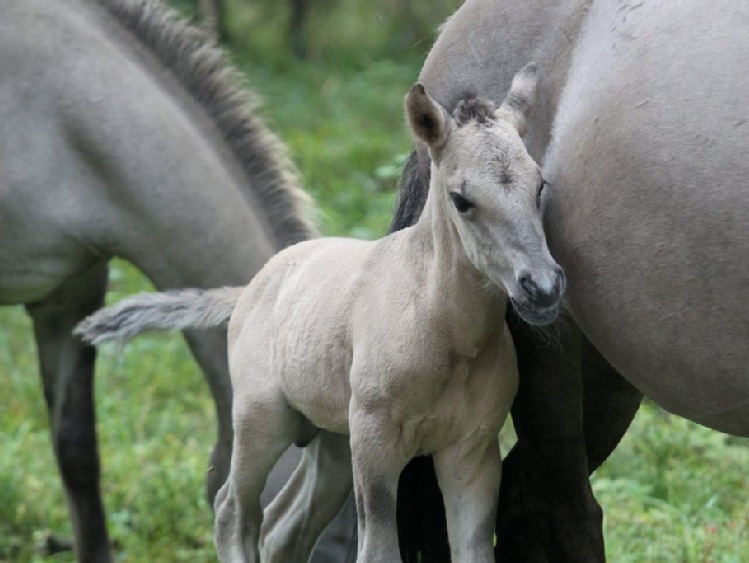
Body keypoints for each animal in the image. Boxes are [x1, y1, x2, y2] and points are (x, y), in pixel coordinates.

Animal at [77, 62, 568, 563]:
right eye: (462, 199)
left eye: (539, 185)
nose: (542, 287)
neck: (443, 330)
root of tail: (250, 288)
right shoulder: (375, 442)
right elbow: (377, 550)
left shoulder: (473, 451)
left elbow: (473, 550)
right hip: (262, 420)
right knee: (233, 510)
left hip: (330, 443)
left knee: (281, 528)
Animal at [392, 0, 748, 560]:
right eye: (463, 200)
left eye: (541, 187)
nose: (543, 287)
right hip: (542, 362)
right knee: (561, 513)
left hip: (609, 367)